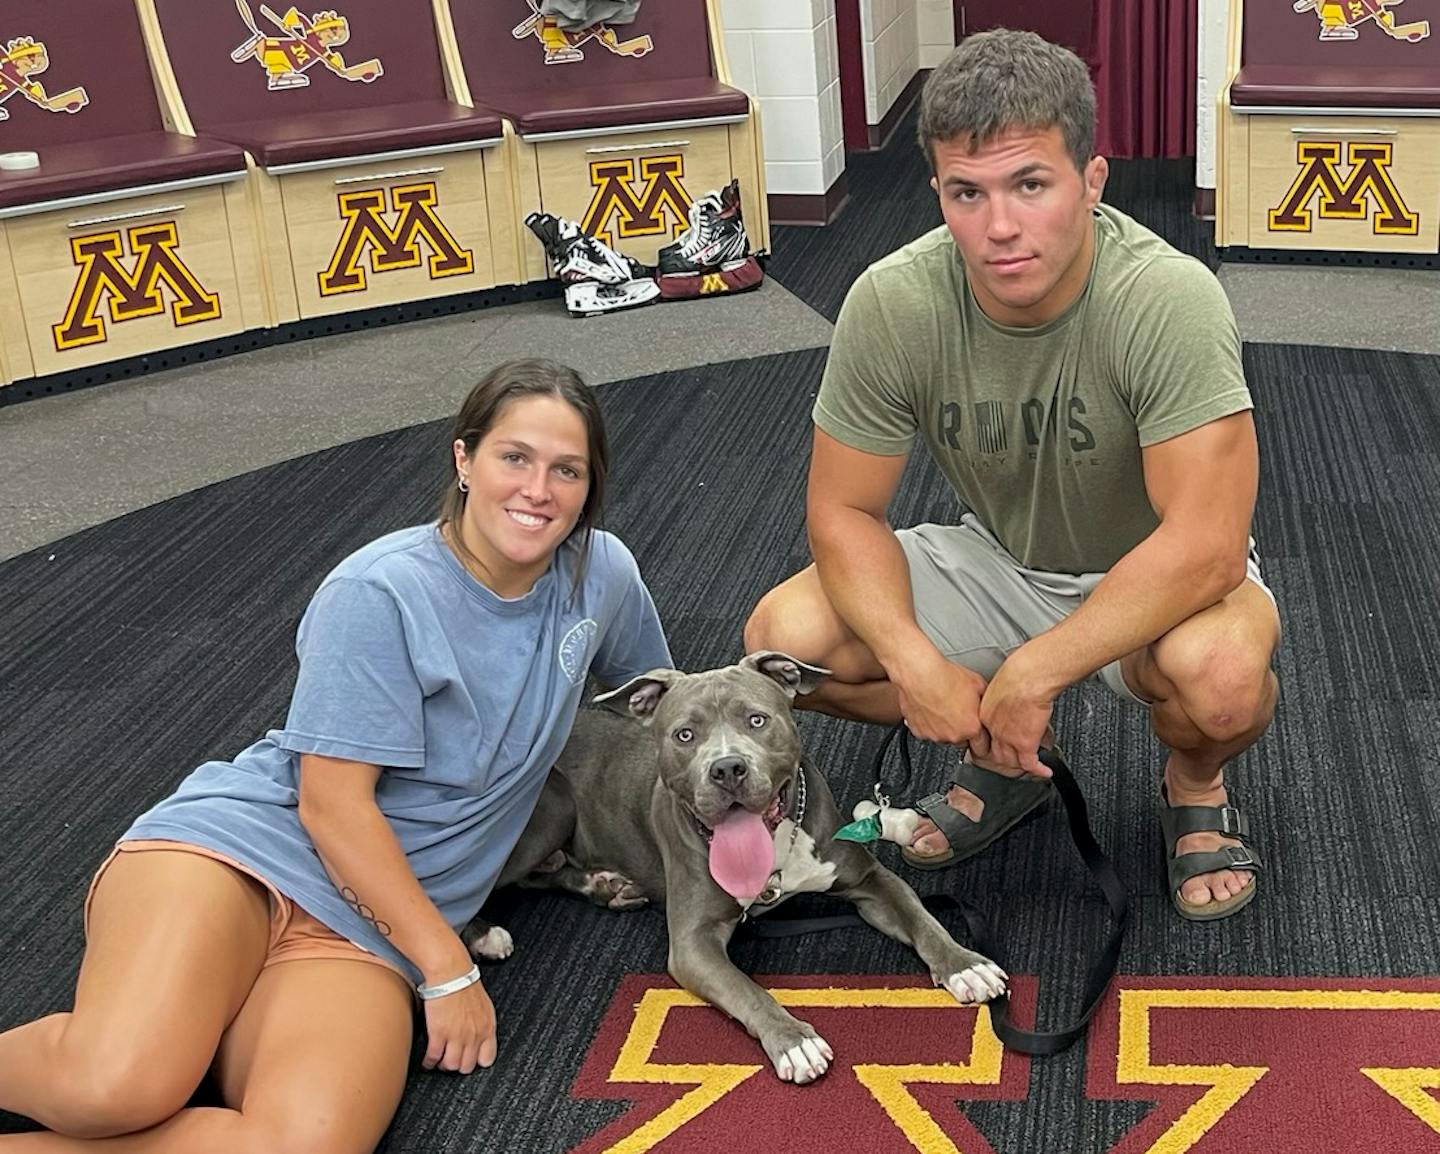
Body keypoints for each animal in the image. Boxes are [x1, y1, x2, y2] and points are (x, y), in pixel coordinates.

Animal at [466, 654, 1008, 1083]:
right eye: (684, 734)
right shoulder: (693, 944)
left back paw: (606, 886)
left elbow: (922, 917)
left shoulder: (869, 879)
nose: (727, 768)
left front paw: (965, 964)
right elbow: (748, 991)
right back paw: (485, 935)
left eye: (757, 720)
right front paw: (793, 1040)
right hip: (550, 808)